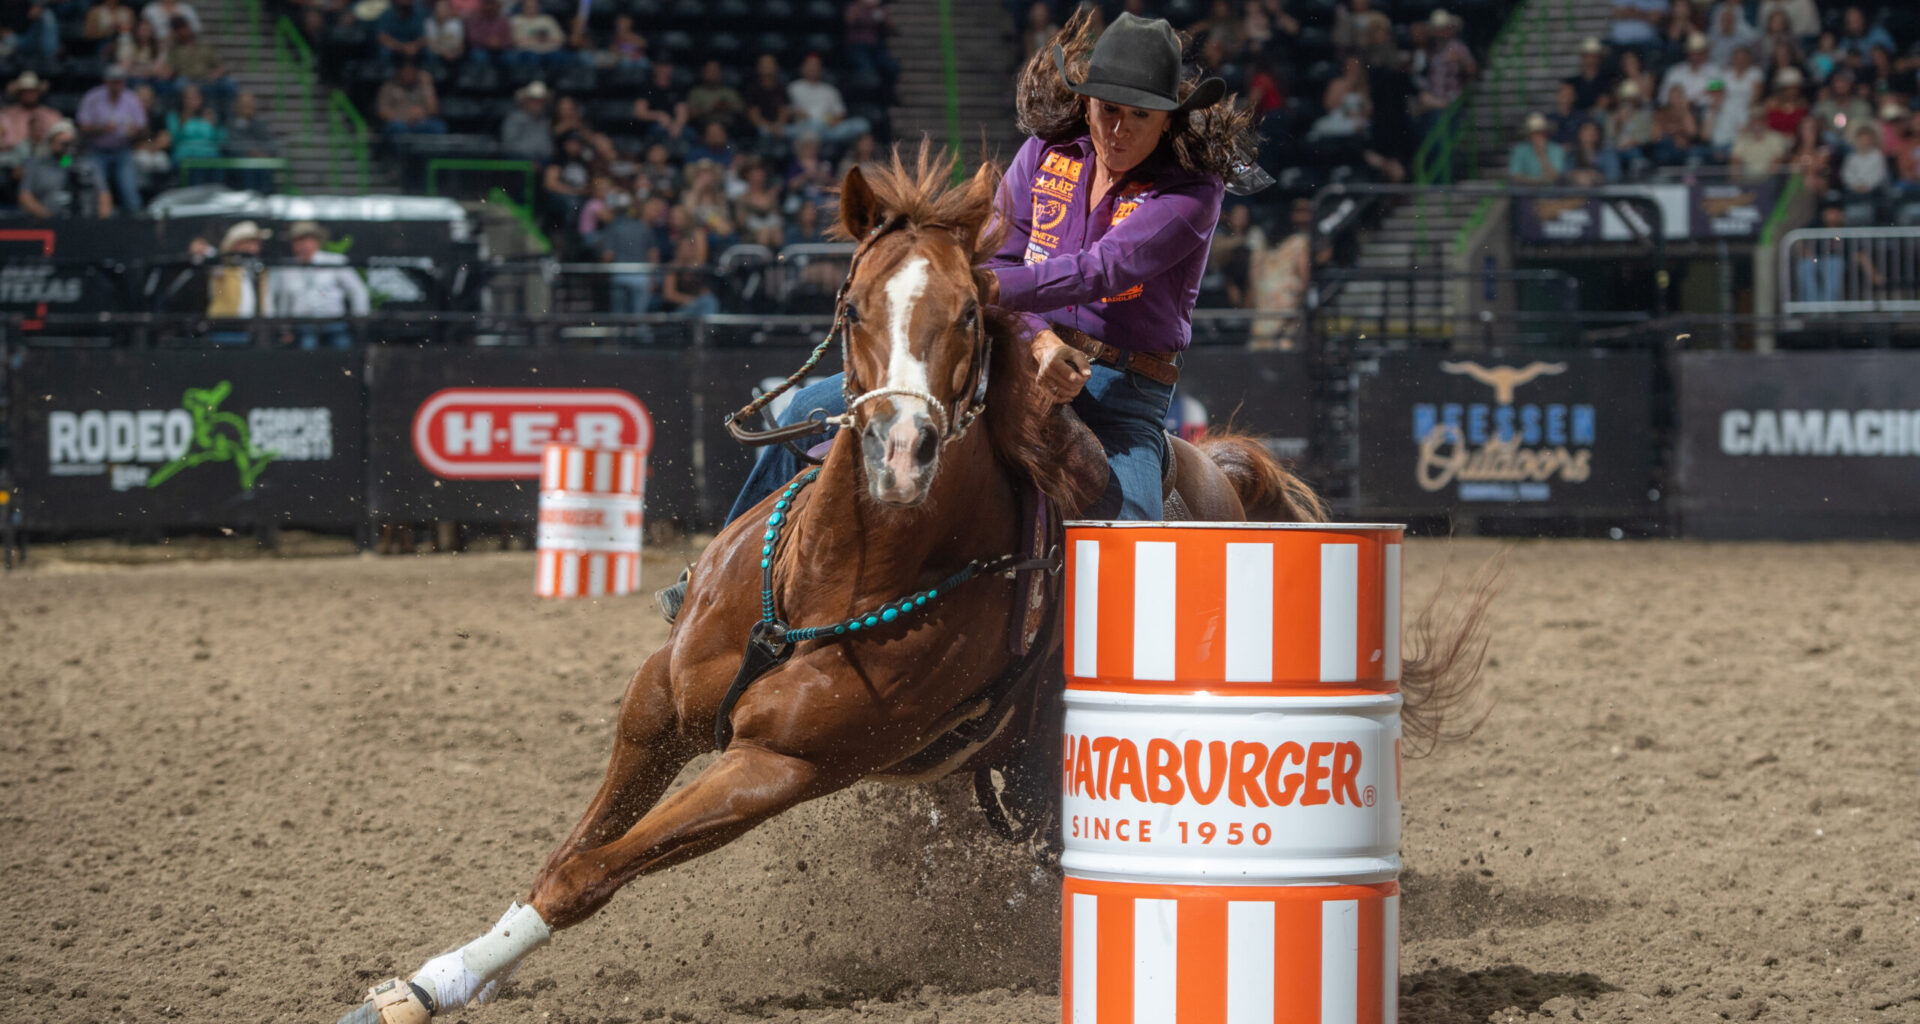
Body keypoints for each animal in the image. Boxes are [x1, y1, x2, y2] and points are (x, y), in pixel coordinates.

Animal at [335, 146, 1492, 1024]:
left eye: (971, 318)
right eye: (851, 306)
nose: (900, 451)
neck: (838, 574)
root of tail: (1223, 469)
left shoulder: (778, 767)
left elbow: (593, 871)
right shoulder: (658, 704)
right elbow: (571, 852)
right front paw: (432, 981)